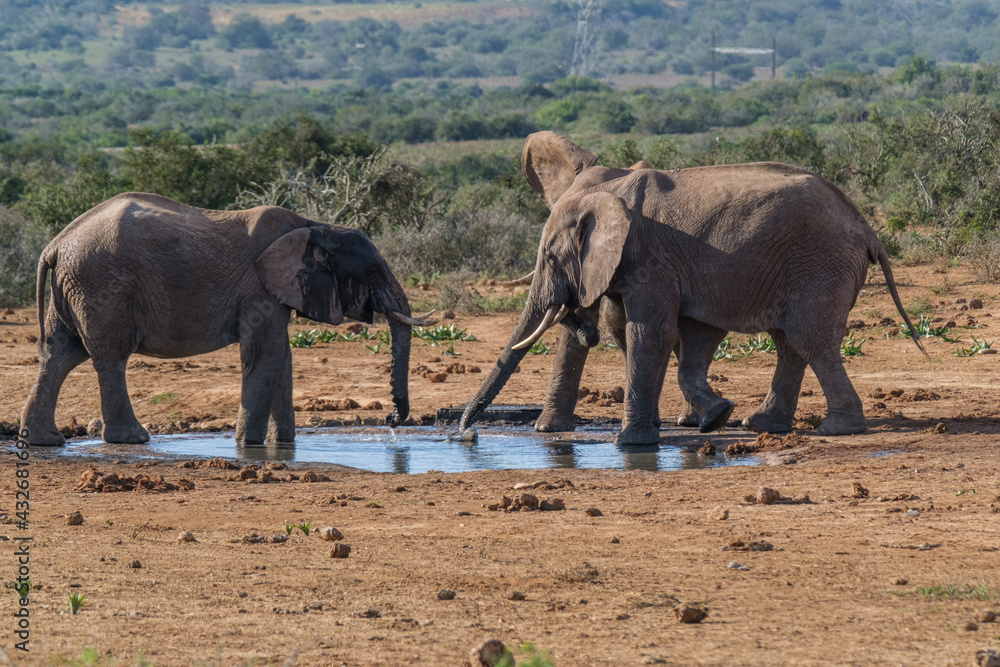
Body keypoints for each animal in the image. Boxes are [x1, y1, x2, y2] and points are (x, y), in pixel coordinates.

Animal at [20, 192, 434, 446]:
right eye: (373, 271)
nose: (392, 422)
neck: (315, 225)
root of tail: (54, 245)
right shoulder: (259, 288)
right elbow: (266, 355)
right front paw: (248, 445)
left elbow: (281, 358)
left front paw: (283, 444)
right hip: (102, 285)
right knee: (109, 357)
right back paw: (133, 439)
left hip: (74, 287)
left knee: (60, 354)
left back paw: (44, 440)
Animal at [460, 131, 922, 445]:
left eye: (551, 259)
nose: (465, 435)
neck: (606, 191)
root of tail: (865, 226)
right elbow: (684, 336)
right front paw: (711, 418)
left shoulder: (649, 257)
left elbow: (651, 333)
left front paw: (632, 443)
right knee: (789, 340)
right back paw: (761, 424)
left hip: (821, 262)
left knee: (809, 338)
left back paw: (837, 429)